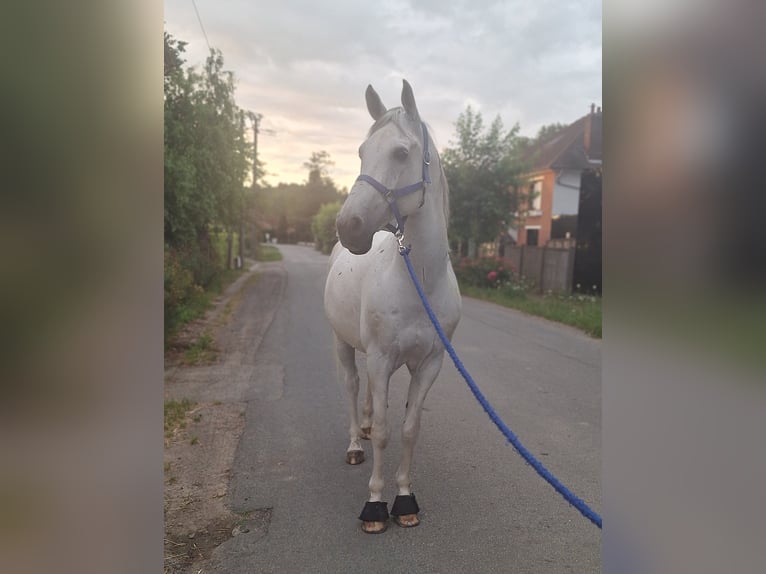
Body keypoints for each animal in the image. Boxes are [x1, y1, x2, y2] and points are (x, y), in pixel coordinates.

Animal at [324, 81, 462, 536]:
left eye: (402, 153)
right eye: (362, 151)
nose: (348, 227)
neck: (420, 281)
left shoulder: (429, 363)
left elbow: (408, 429)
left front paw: (404, 500)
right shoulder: (381, 358)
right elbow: (385, 432)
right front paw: (374, 505)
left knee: (368, 396)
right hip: (344, 345)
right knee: (352, 388)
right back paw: (355, 442)